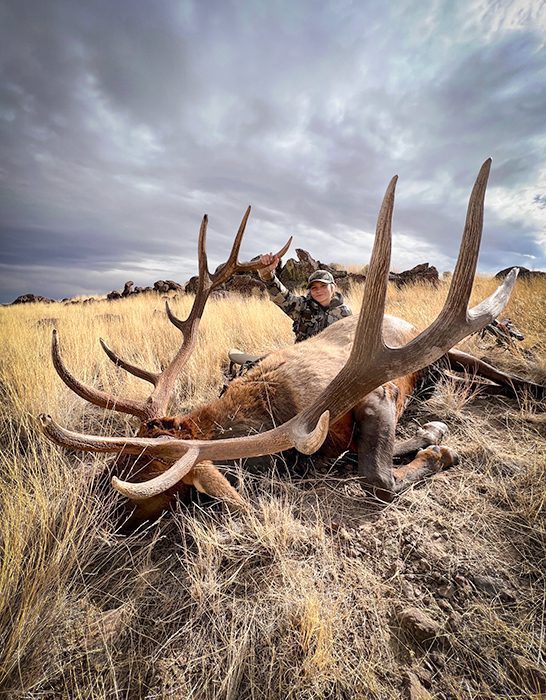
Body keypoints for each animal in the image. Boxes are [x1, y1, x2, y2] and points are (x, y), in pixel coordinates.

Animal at [38, 160, 543, 523]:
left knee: (500, 373)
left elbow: (377, 477)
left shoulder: (375, 396)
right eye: (121, 460)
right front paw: (424, 435)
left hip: (442, 347)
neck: (274, 409)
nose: (89, 499)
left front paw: (437, 444)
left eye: (137, 475)